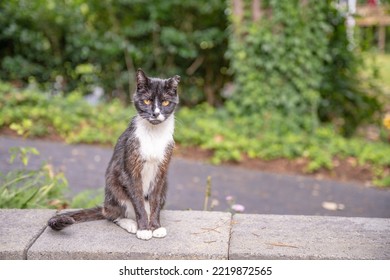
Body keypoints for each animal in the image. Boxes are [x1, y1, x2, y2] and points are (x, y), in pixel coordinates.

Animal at [48, 69, 181, 240]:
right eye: (146, 101)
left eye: (165, 102)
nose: (155, 113)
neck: (154, 134)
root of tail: (106, 206)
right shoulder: (130, 171)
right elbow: (138, 202)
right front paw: (144, 229)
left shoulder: (162, 171)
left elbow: (155, 201)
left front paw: (155, 227)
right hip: (114, 186)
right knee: (113, 215)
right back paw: (131, 224)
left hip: (165, 186)